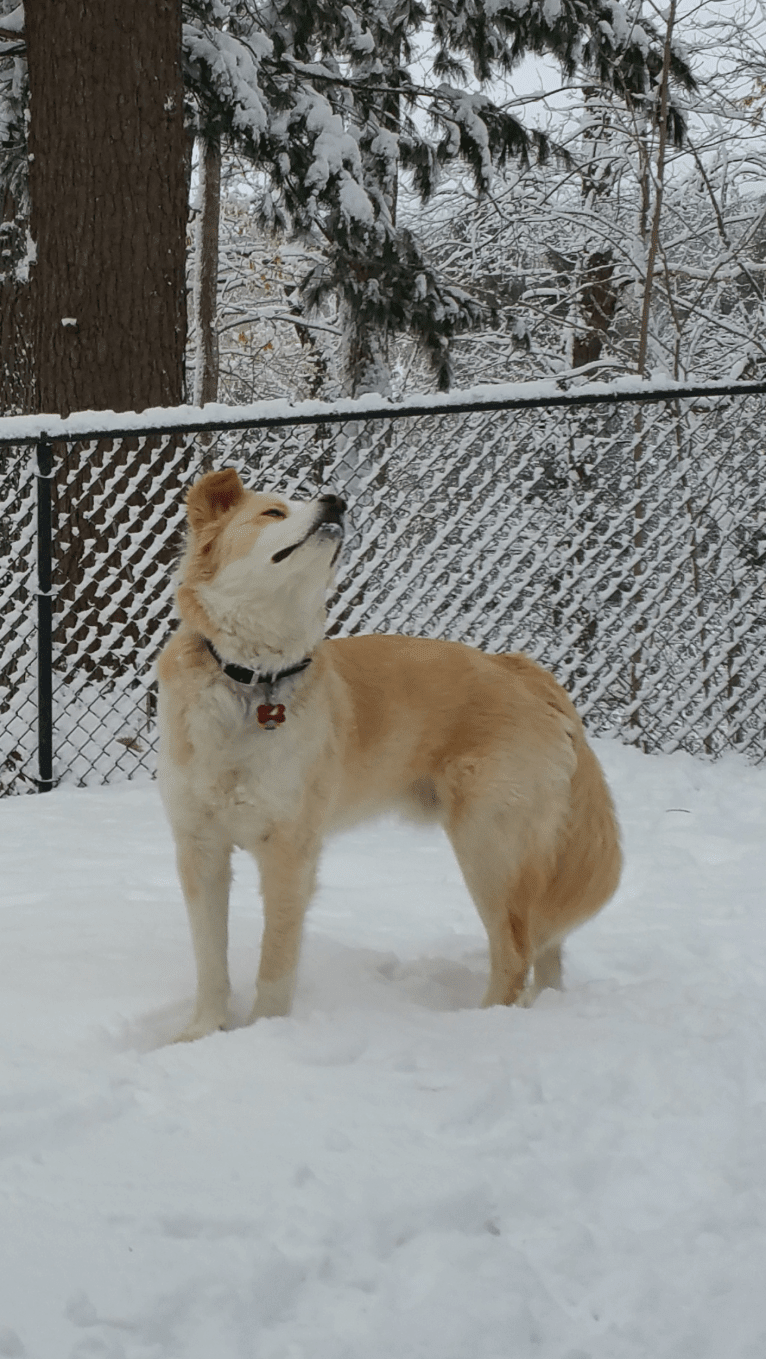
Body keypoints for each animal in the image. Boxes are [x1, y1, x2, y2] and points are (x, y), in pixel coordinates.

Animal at [156, 467, 622, 1038]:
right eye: (273, 512)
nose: (337, 501)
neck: (253, 681)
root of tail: (518, 667)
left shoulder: (289, 853)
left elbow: (275, 963)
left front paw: (264, 1031)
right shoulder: (199, 850)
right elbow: (210, 958)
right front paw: (203, 1032)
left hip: (489, 847)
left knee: (516, 955)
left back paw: (481, 1024)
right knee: (545, 948)